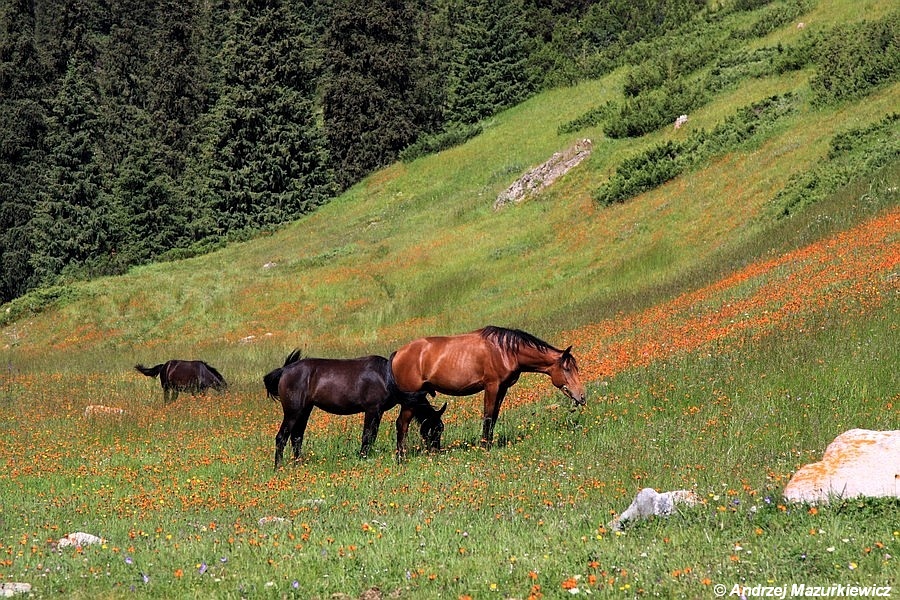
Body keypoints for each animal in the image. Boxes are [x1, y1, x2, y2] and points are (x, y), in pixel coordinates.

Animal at [260, 350, 446, 472]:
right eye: (437, 429)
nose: (437, 451)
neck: (386, 376)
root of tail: (284, 370)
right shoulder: (373, 410)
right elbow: (368, 435)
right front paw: (363, 457)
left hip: (305, 410)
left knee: (297, 437)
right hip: (293, 412)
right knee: (281, 437)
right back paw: (278, 467)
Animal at [390, 326, 588, 448]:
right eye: (567, 368)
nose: (581, 396)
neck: (505, 351)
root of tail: (398, 354)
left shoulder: (502, 389)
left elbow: (494, 417)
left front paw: (489, 443)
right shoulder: (491, 387)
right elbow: (487, 416)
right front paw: (484, 445)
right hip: (410, 400)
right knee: (402, 424)